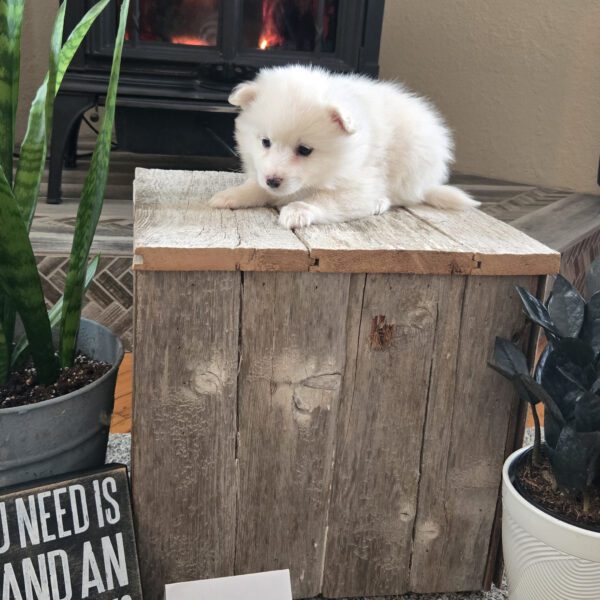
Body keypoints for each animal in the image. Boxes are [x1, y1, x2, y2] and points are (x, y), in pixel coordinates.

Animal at [209, 65, 480, 229]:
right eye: (265, 142)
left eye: (304, 150)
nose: (273, 181)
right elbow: (255, 186)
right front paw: (231, 195)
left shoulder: (358, 184)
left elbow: (324, 201)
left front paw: (297, 210)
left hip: (411, 161)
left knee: (400, 196)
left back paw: (380, 202)